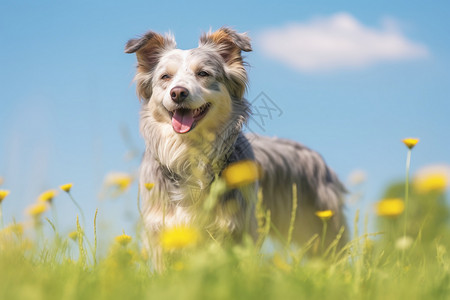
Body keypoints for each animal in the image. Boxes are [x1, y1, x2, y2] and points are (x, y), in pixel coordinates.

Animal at [126, 27, 348, 268]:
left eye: (203, 74)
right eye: (165, 77)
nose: (178, 93)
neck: (190, 152)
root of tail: (317, 158)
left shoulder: (236, 230)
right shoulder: (162, 232)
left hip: (322, 230)